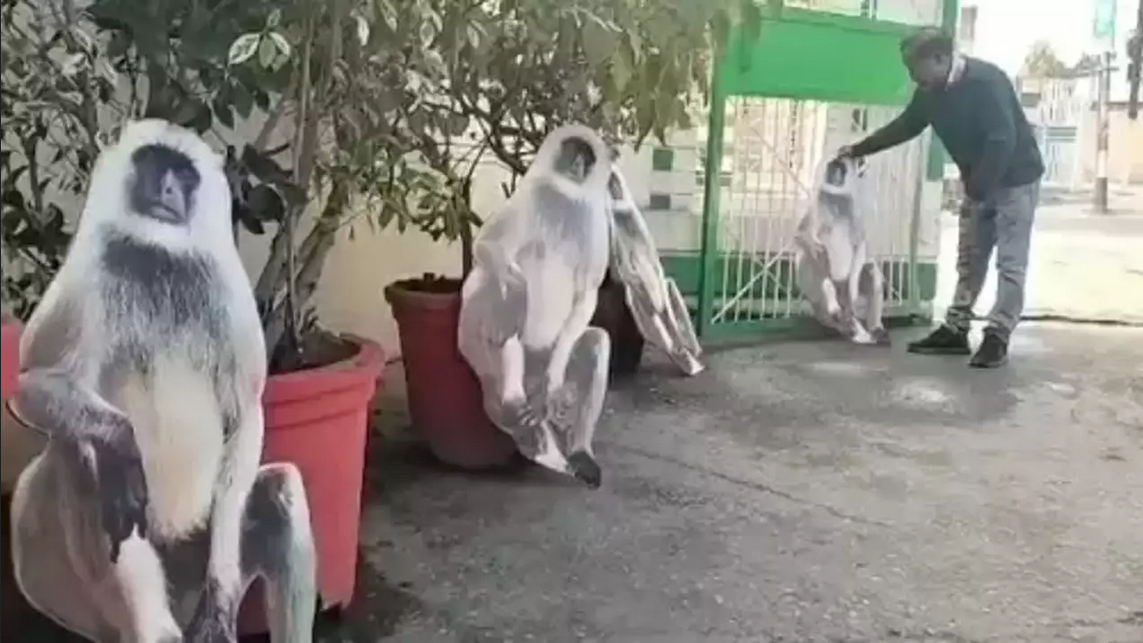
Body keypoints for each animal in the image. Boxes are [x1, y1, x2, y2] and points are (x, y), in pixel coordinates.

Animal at [6, 119, 316, 642]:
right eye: (153, 163)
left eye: (183, 174)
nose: (166, 190)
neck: (160, 256)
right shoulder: (93, 272)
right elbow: (30, 386)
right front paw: (126, 446)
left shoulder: (226, 290)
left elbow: (245, 412)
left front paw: (222, 593)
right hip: (88, 599)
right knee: (80, 459)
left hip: (195, 559)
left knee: (279, 492)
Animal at [458, 123, 613, 488]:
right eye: (572, 150)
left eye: (587, 156)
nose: (577, 165)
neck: (566, 197)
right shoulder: (533, 196)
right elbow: (488, 246)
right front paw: (516, 291)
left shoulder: (593, 219)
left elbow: (588, 293)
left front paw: (554, 387)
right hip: (486, 351)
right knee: (489, 289)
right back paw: (511, 403)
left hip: (543, 357)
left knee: (595, 343)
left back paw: (577, 450)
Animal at [793, 155, 891, 346]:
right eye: (833, 167)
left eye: (841, 168)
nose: (834, 175)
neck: (837, 199)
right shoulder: (819, 202)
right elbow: (801, 237)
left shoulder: (855, 207)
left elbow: (861, 246)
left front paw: (852, 298)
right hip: (813, 290)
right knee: (812, 261)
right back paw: (833, 302)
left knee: (869, 272)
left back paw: (874, 328)